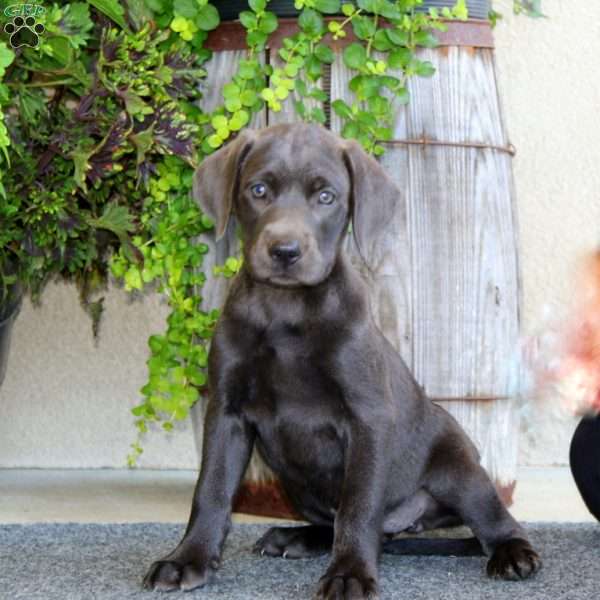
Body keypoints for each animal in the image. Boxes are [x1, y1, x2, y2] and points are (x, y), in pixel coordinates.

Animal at [143, 123, 540, 600]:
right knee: (337, 524)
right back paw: (294, 537)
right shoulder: (226, 412)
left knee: (496, 520)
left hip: (458, 468)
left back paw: (514, 553)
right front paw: (188, 558)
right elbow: (211, 489)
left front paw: (350, 572)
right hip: (295, 483)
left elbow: (359, 504)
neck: (286, 311)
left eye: (326, 196)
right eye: (259, 190)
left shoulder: (367, 418)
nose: (285, 250)